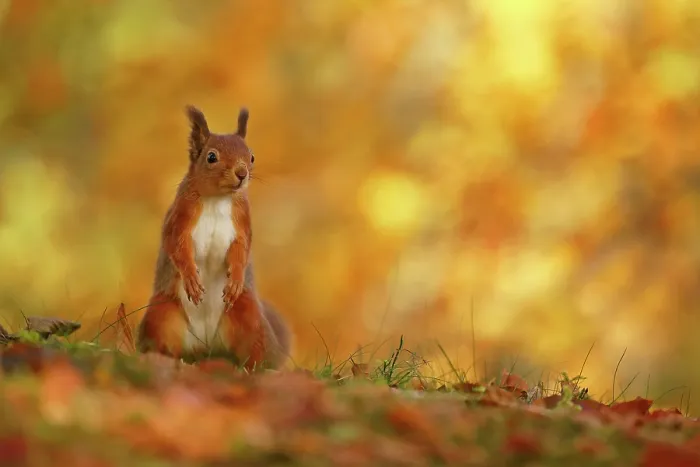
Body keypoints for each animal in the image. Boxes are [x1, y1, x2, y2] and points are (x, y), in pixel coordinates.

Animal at [136, 105, 291, 371]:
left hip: (248, 316)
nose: (242, 173)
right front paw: (191, 278)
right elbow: (176, 245)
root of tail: (206, 346)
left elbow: (242, 248)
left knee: (255, 351)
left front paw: (236, 277)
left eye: (252, 157)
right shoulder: (179, 219)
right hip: (162, 314)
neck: (218, 199)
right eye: (211, 157)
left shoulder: (242, 222)